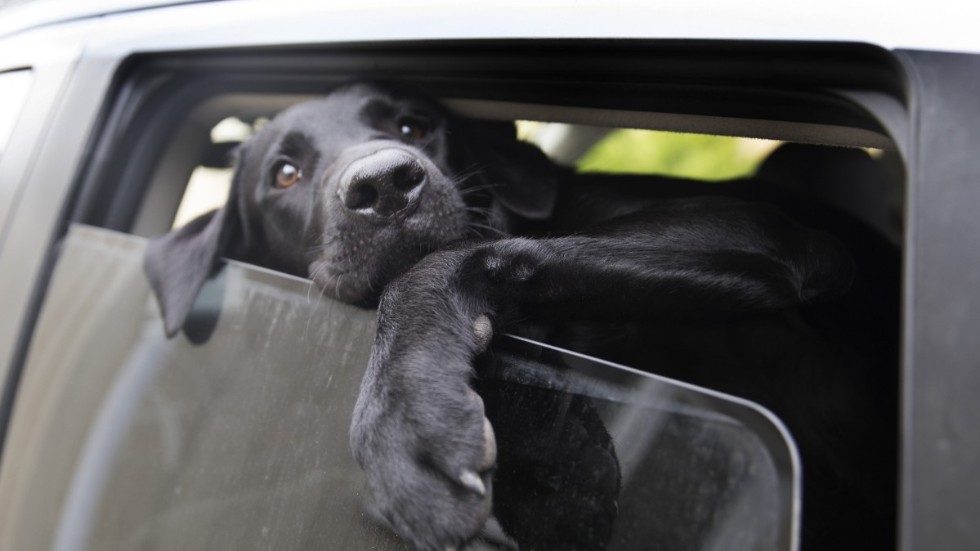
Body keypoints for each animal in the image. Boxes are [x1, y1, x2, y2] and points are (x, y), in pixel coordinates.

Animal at [142, 83, 900, 551]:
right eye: (285, 173)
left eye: (414, 127)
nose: (386, 183)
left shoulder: (777, 238)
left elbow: (459, 262)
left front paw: (406, 419)